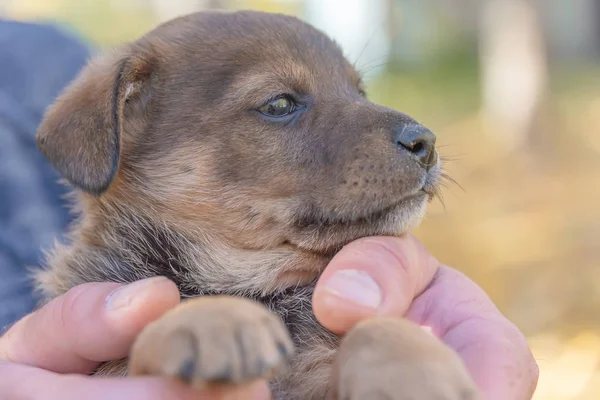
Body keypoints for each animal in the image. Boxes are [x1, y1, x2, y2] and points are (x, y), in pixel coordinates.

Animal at [35, 9, 480, 400]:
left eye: (360, 92)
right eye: (279, 104)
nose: (426, 143)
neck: (261, 286)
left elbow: (374, 327)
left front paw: (417, 370)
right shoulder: (111, 368)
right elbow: (154, 312)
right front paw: (215, 317)